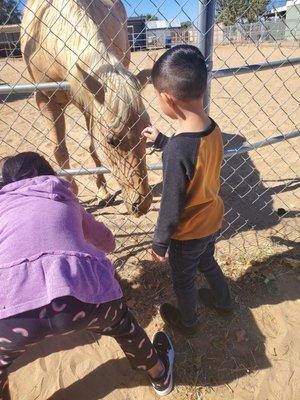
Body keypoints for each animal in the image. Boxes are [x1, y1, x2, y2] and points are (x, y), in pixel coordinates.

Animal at [21, 0, 152, 216]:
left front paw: (103, 191)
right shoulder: (46, 101)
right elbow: (60, 151)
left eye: (145, 132)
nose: (142, 204)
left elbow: (93, 147)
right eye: (112, 141)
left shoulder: (89, 103)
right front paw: (71, 191)